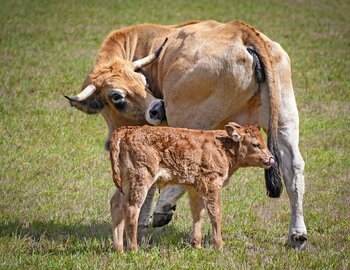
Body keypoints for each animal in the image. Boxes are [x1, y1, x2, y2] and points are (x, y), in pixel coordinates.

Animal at [108, 122, 274, 251]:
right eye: (255, 144)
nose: (271, 158)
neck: (222, 147)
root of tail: (127, 130)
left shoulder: (195, 188)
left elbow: (198, 213)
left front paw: (197, 244)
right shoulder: (212, 184)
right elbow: (215, 213)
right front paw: (219, 246)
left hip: (125, 183)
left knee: (116, 205)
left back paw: (119, 249)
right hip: (140, 179)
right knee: (131, 208)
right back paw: (133, 249)